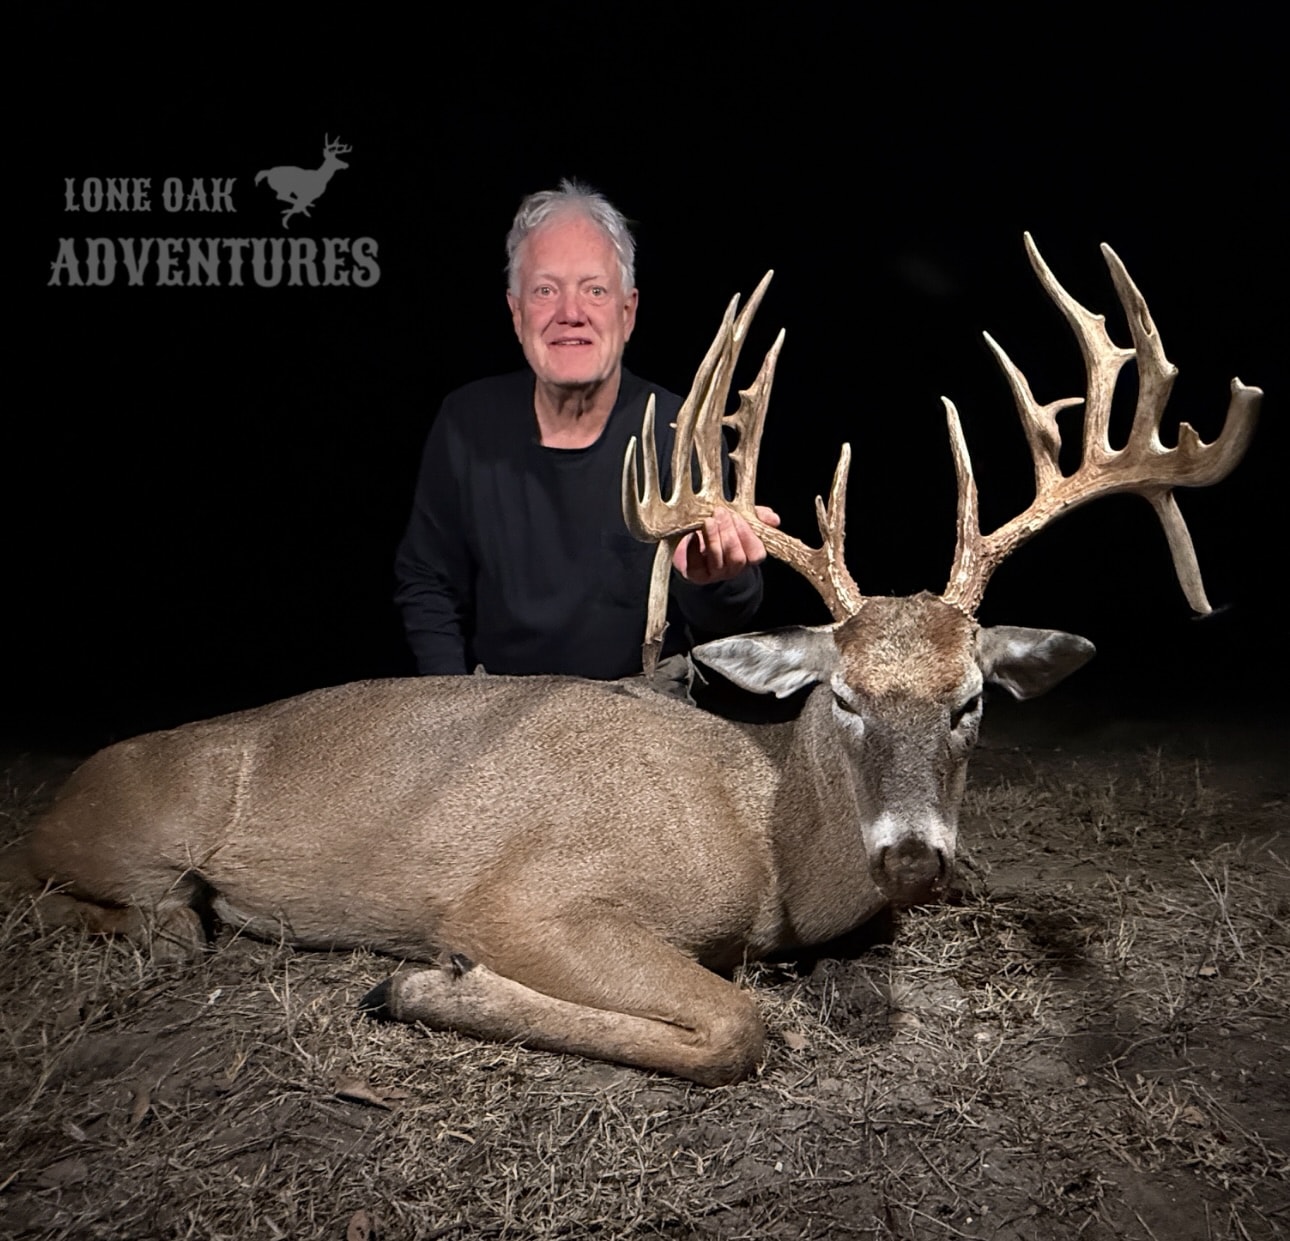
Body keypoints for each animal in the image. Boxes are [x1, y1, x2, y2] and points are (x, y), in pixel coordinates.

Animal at [16, 238, 1258, 1086]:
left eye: (972, 701)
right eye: (844, 696)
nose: (913, 855)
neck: (764, 851)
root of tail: (58, 797)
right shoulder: (520, 892)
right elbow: (738, 1024)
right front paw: (420, 978)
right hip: (134, 846)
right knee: (125, 907)